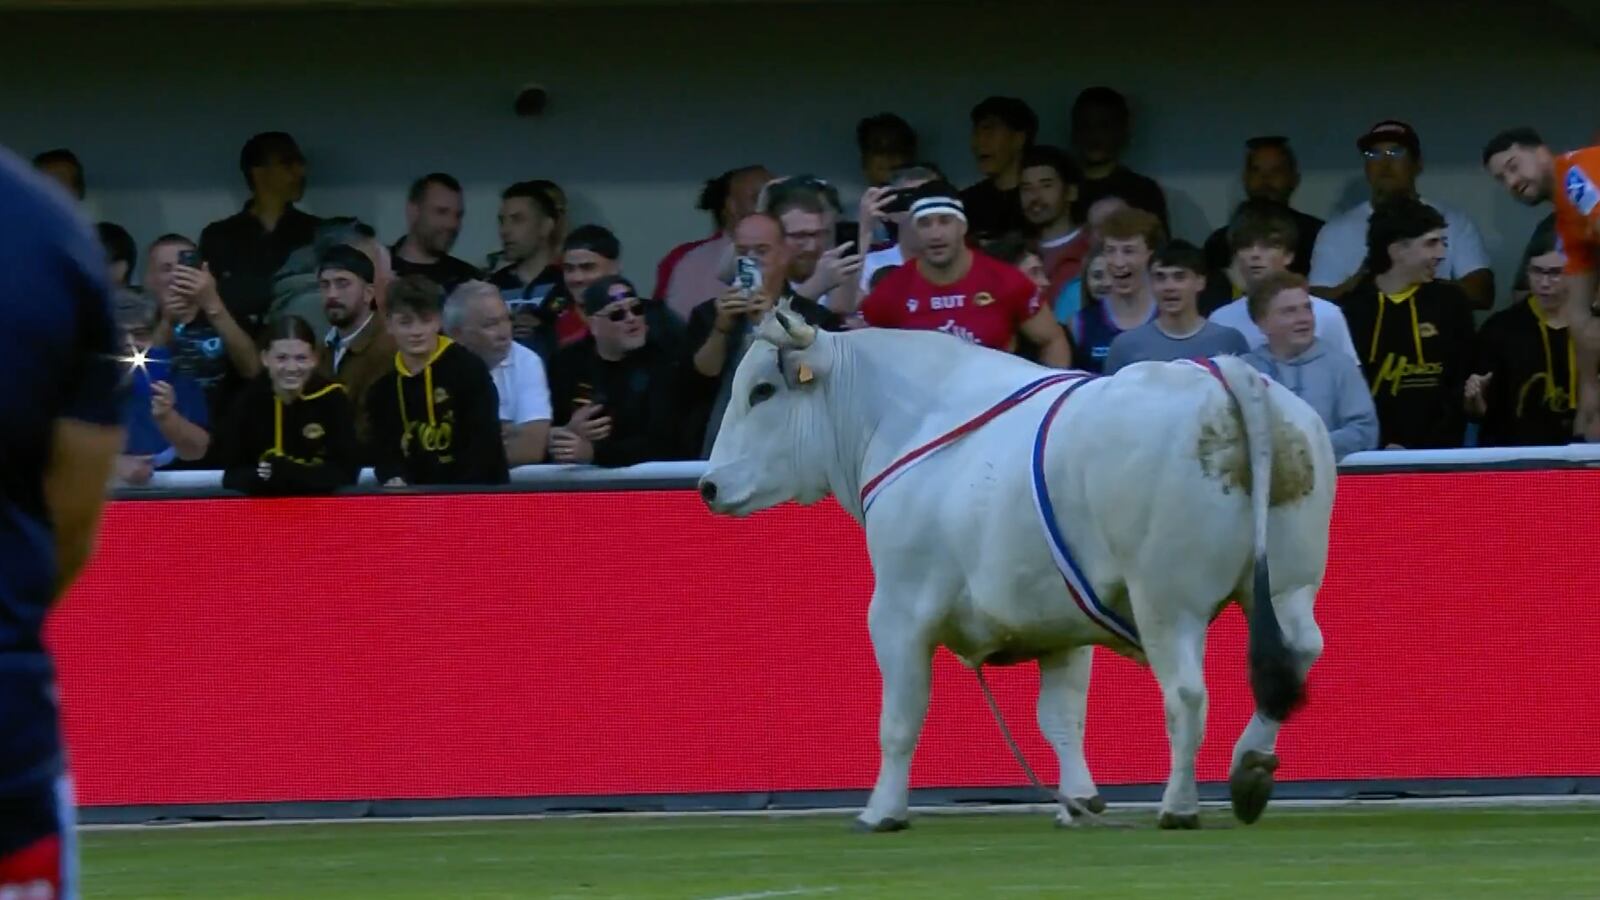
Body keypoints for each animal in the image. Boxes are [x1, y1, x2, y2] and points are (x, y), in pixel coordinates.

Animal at [697, 300, 1336, 832]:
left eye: (761, 391)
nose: (708, 485)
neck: (910, 419)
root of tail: (1220, 372)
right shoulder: (1061, 627)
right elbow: (1060, 718)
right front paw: (1079, 801)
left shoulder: (898, 610)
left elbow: (900, 719)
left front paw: (883, 811)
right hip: (1288, 587)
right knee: (1296, 657)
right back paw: (1249, 770)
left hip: (1166, 603)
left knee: (1185, 694)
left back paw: (1179, 805)